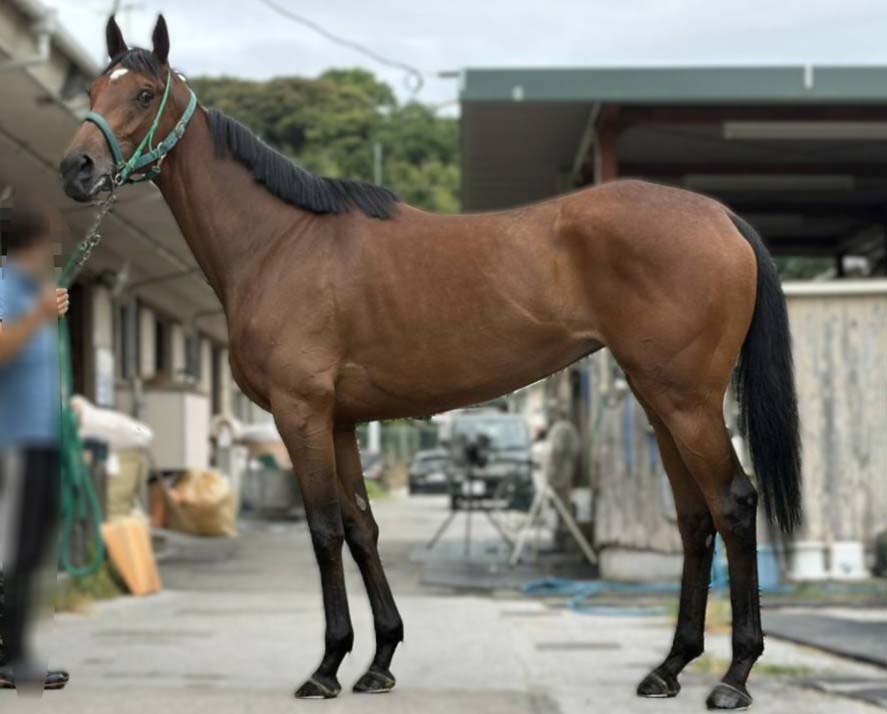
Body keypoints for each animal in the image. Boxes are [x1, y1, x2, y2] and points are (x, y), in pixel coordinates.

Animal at [60, 15, 801, 710]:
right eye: (92, 92)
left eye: (144, 93)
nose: (76, 171)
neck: (280, 242)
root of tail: (720, 217)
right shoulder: (339, 422)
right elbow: (361, 526)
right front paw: (380, 659)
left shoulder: (301, 414)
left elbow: (323, 530)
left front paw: (327, 666)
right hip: (660, 401)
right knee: (695, 517)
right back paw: (669, 667)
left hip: (686, 401)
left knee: (734, 505)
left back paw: (733, 675)